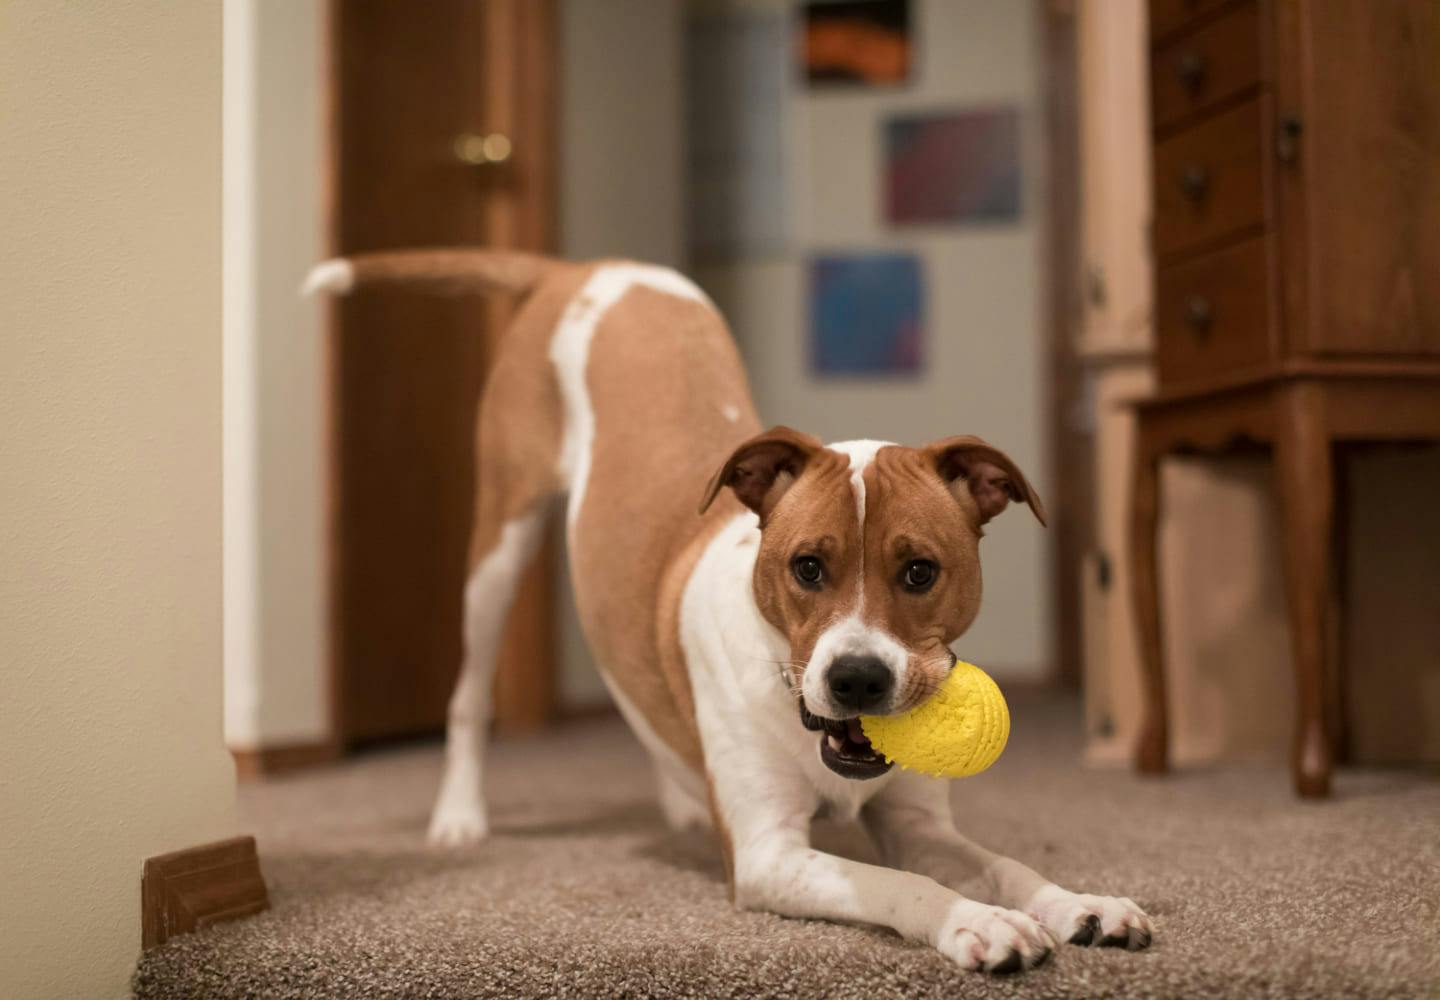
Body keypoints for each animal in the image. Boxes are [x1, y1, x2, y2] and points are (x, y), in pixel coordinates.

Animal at [309, 246, 1152, 974]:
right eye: (807, 567)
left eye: (920, 571)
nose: (857, 679)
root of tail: (582, 267)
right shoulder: (770, 856)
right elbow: (902, 884)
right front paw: (974, 922)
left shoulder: (918, 824)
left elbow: (1002, 864)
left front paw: (1078, 904)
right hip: (499, 544)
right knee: (469, 693)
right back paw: (459, 818)